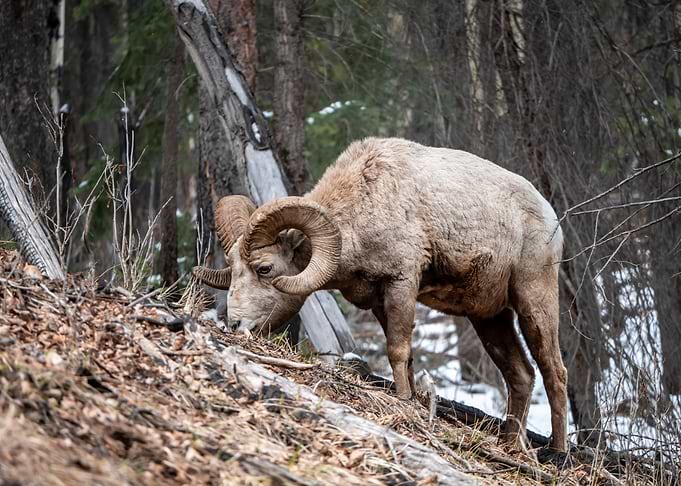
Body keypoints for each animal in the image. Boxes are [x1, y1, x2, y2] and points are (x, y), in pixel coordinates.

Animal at [193, 137, 568, 452]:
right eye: (233, 268)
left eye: (265, 269)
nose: (235, 324)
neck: (366, 202)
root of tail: (550, 217)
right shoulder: (378, 302)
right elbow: (406, 356)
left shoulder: (401, 284)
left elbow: (397, 351)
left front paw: (403, 402)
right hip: (489, 318)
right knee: (521, 375)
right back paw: (511, 448)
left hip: (534, 301)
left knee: (554, 371)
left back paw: (557, 453)